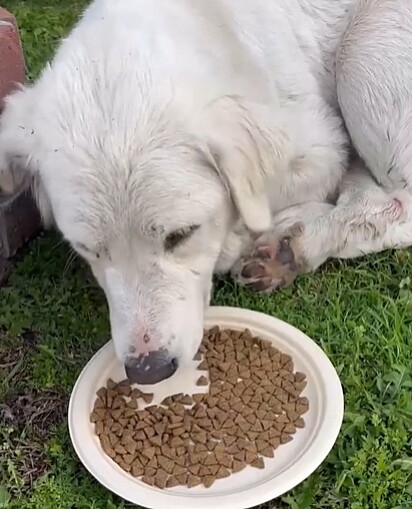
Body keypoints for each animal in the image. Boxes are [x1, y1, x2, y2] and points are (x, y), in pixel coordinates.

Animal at [0, 0, 412, 380]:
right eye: (88, 250)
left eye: (181, 235)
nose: (149, 370)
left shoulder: (323, 145)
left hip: (363, 50)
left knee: (397, 202)